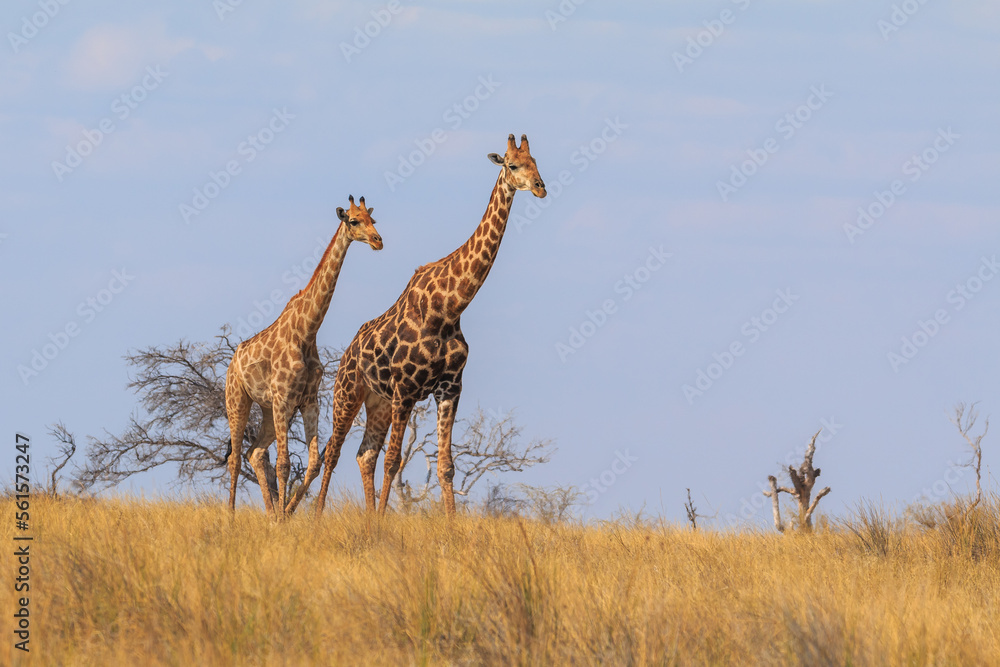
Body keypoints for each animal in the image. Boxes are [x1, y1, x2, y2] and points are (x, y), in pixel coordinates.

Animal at [225, 195, 383, 520]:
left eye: (374, 220)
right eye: (353, 221)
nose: (378, 241)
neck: (307, 331)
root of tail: (233, 363)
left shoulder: (308, 400)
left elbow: (312, 464)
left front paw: (285, 514)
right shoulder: (285, 399)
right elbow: (285, 464)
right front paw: (283, 516)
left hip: (267, 409)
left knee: (254, 452)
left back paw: (270, 514)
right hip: (238, 400)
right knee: (235, 458)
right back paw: (231, 516)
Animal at [313, 134, 546, 516]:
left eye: (536, 161)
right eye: (512, 164)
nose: (541, 188)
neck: (450, 308)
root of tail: (347, 353)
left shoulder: (450, 387)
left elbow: (446, 466)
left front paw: (450, 527)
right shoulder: (406, 389)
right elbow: (394, 461)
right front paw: (382, 525)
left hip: (378, 401)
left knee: (364, 455)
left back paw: (364, 516)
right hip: (348, 393)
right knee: (333, 453)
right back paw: (317, 517)